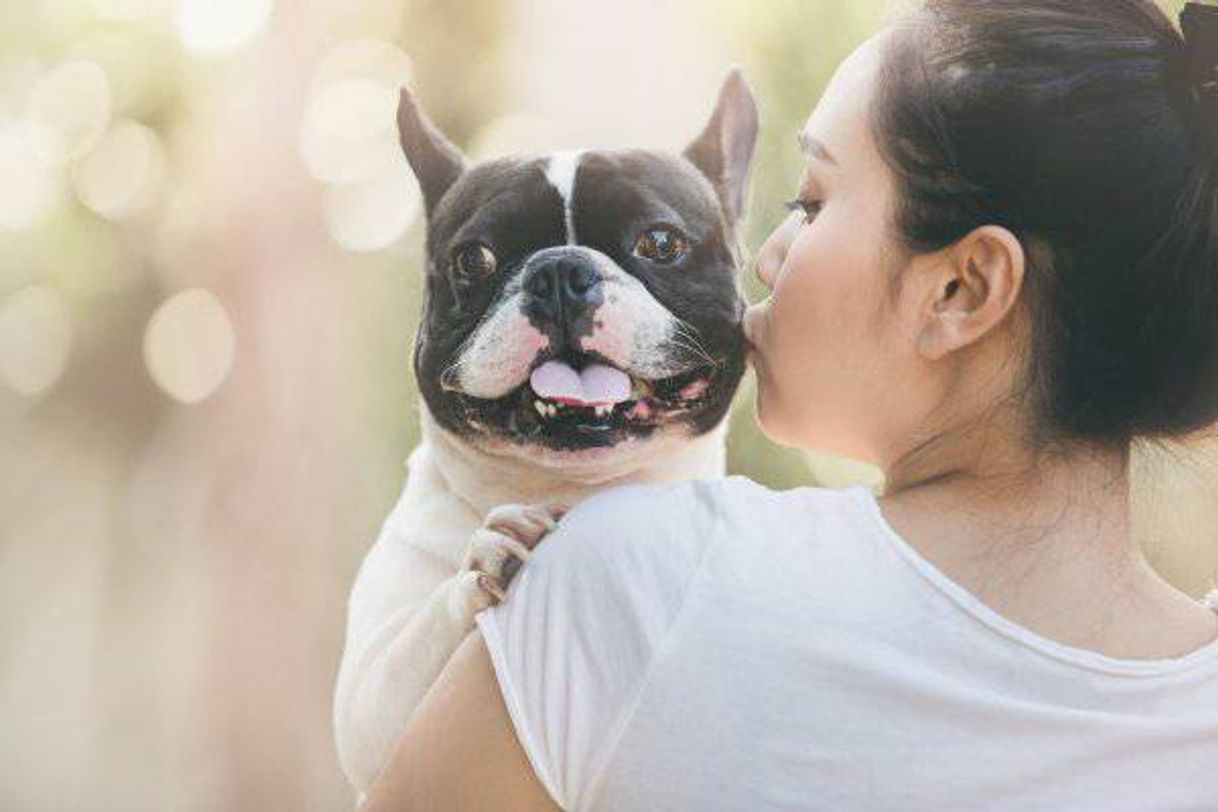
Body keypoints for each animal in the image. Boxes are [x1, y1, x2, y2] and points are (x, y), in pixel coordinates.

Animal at [328, 68, 755, 798]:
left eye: (660, 242)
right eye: (473, 259)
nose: (559, 270)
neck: (572, 488)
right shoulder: (370, 704)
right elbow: (398, 669)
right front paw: (488, 555)